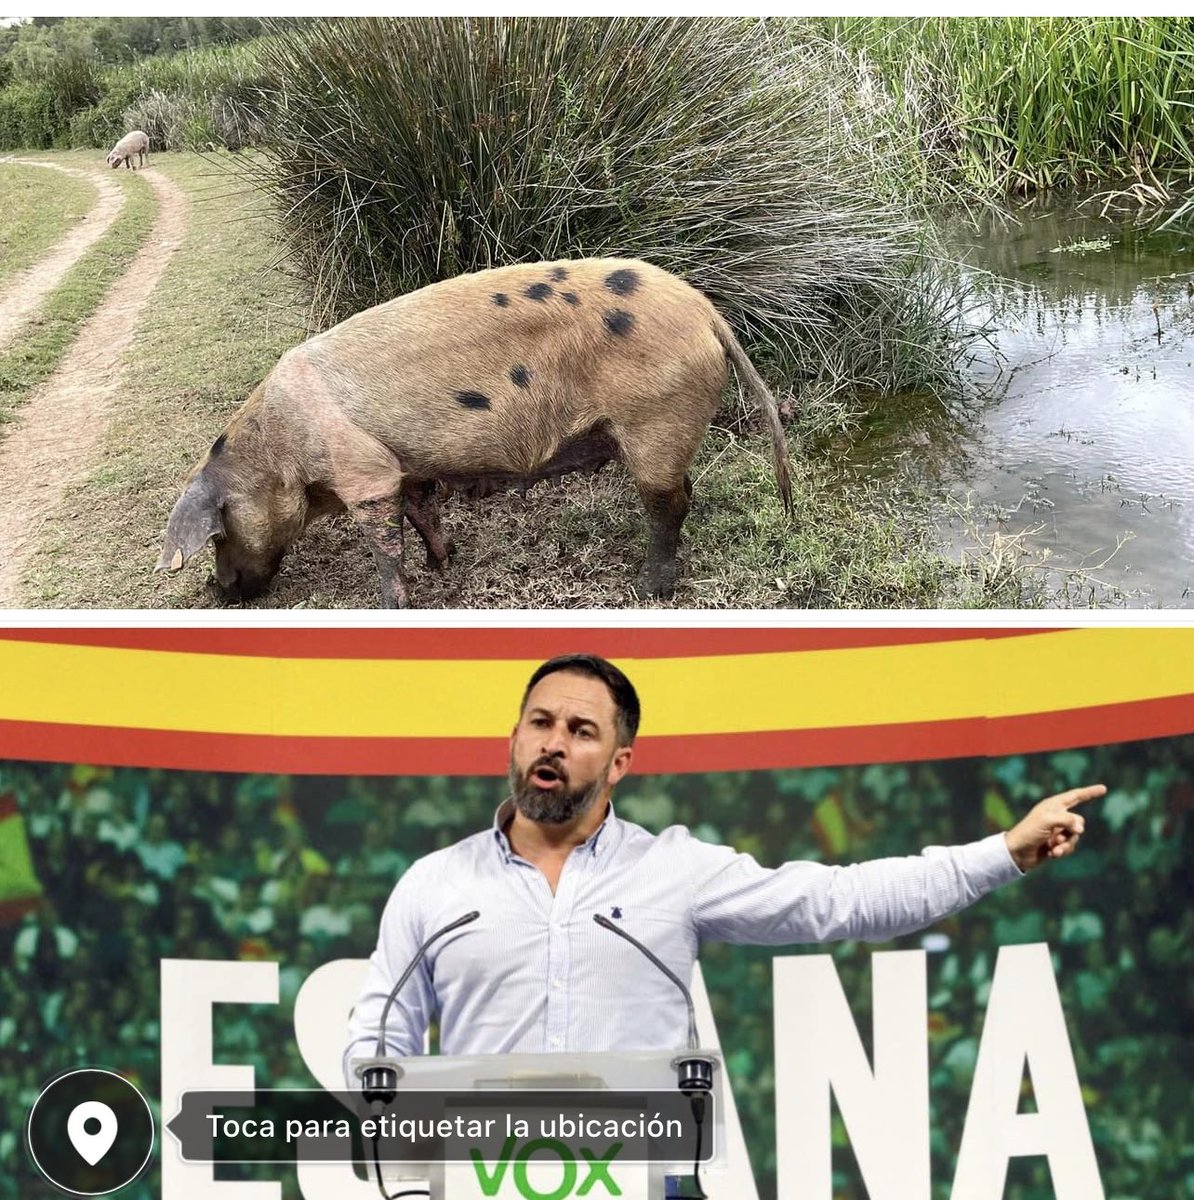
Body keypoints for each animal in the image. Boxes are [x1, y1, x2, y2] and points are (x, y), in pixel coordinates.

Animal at [157, 257, 793, 607]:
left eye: (218, 535)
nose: (216, 590)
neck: (279, 453)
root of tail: (706, 312)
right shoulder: (405, 465)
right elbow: (422, 511)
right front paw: (445, 563)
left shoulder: (363, 471)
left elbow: (384, 545)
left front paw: (391, 604)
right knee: (685, 491)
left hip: (654, 417)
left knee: (669, 502)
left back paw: (645, 589)